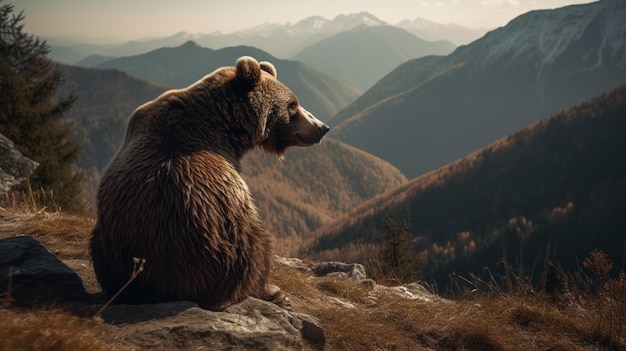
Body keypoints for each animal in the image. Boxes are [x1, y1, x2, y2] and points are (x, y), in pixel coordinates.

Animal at [89, 57, 330, 310]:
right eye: (293, 105)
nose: (322, 127)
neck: (225, 126)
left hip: (111, 244)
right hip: (219, 241)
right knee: (257, 246)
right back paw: (273, 292)